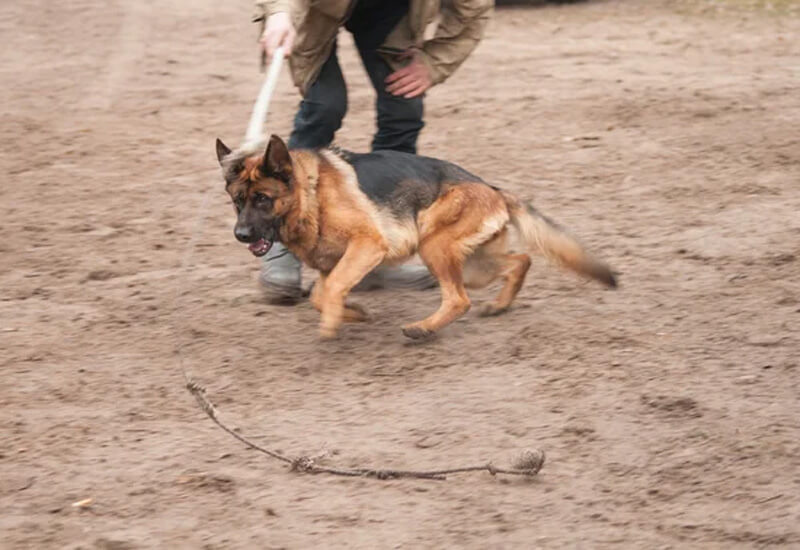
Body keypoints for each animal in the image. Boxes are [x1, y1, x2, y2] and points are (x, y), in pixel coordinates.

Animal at [216, 135, 616, 340]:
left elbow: (330, 291)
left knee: (459, 299)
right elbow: (321, 294)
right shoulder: (335, 264)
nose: (241, 235)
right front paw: (352, 313)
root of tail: (495, 190)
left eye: (262, 199)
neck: (310, 194)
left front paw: (333, 322)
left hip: (434, 248)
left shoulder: (367, 246)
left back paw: (423, 328)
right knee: (520, 260)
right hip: (474, 264)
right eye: (237, 201)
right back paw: (499, 306)